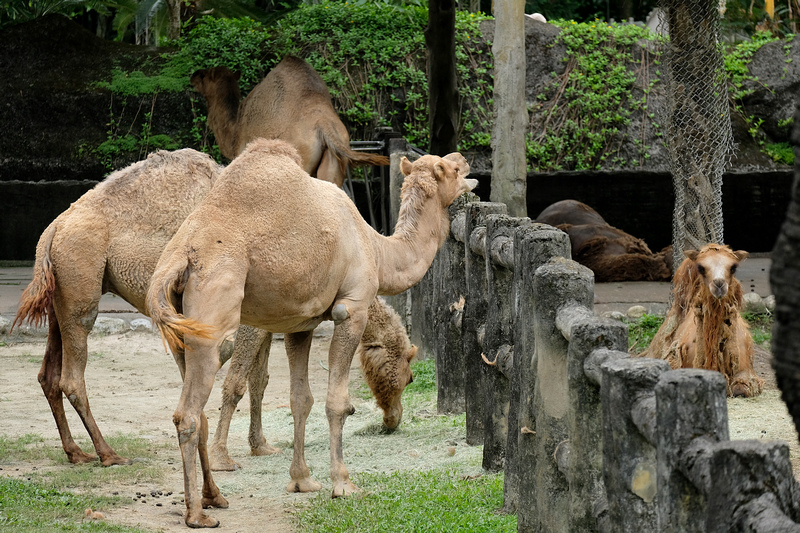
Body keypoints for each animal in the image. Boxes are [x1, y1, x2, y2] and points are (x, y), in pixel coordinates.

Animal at [12, 147, 418, 470]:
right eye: (408, 375)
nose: (393, 420)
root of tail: (52, 229)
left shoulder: (268, 319)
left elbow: (260, 380)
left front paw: (261, 445)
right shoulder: (249, 321)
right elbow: (237, 382)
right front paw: (224, 456)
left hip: (62, 294)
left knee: (48, 374)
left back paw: (75, 453)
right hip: (82, 281)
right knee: (72, 375)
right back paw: (108, 453)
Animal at [145, 138, 476, 528]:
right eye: (450, 169)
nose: (465, 159)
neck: (376, 248)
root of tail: (179, 259)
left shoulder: (299, 324)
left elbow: (300, 400)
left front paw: (302, 480)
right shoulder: (352, 309)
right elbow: (337, 402)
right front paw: (343, 484)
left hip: (179, 325)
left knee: (196, 410)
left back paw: (215, 497)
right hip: (213, 312)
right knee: (190, 410)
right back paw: (197, 513)